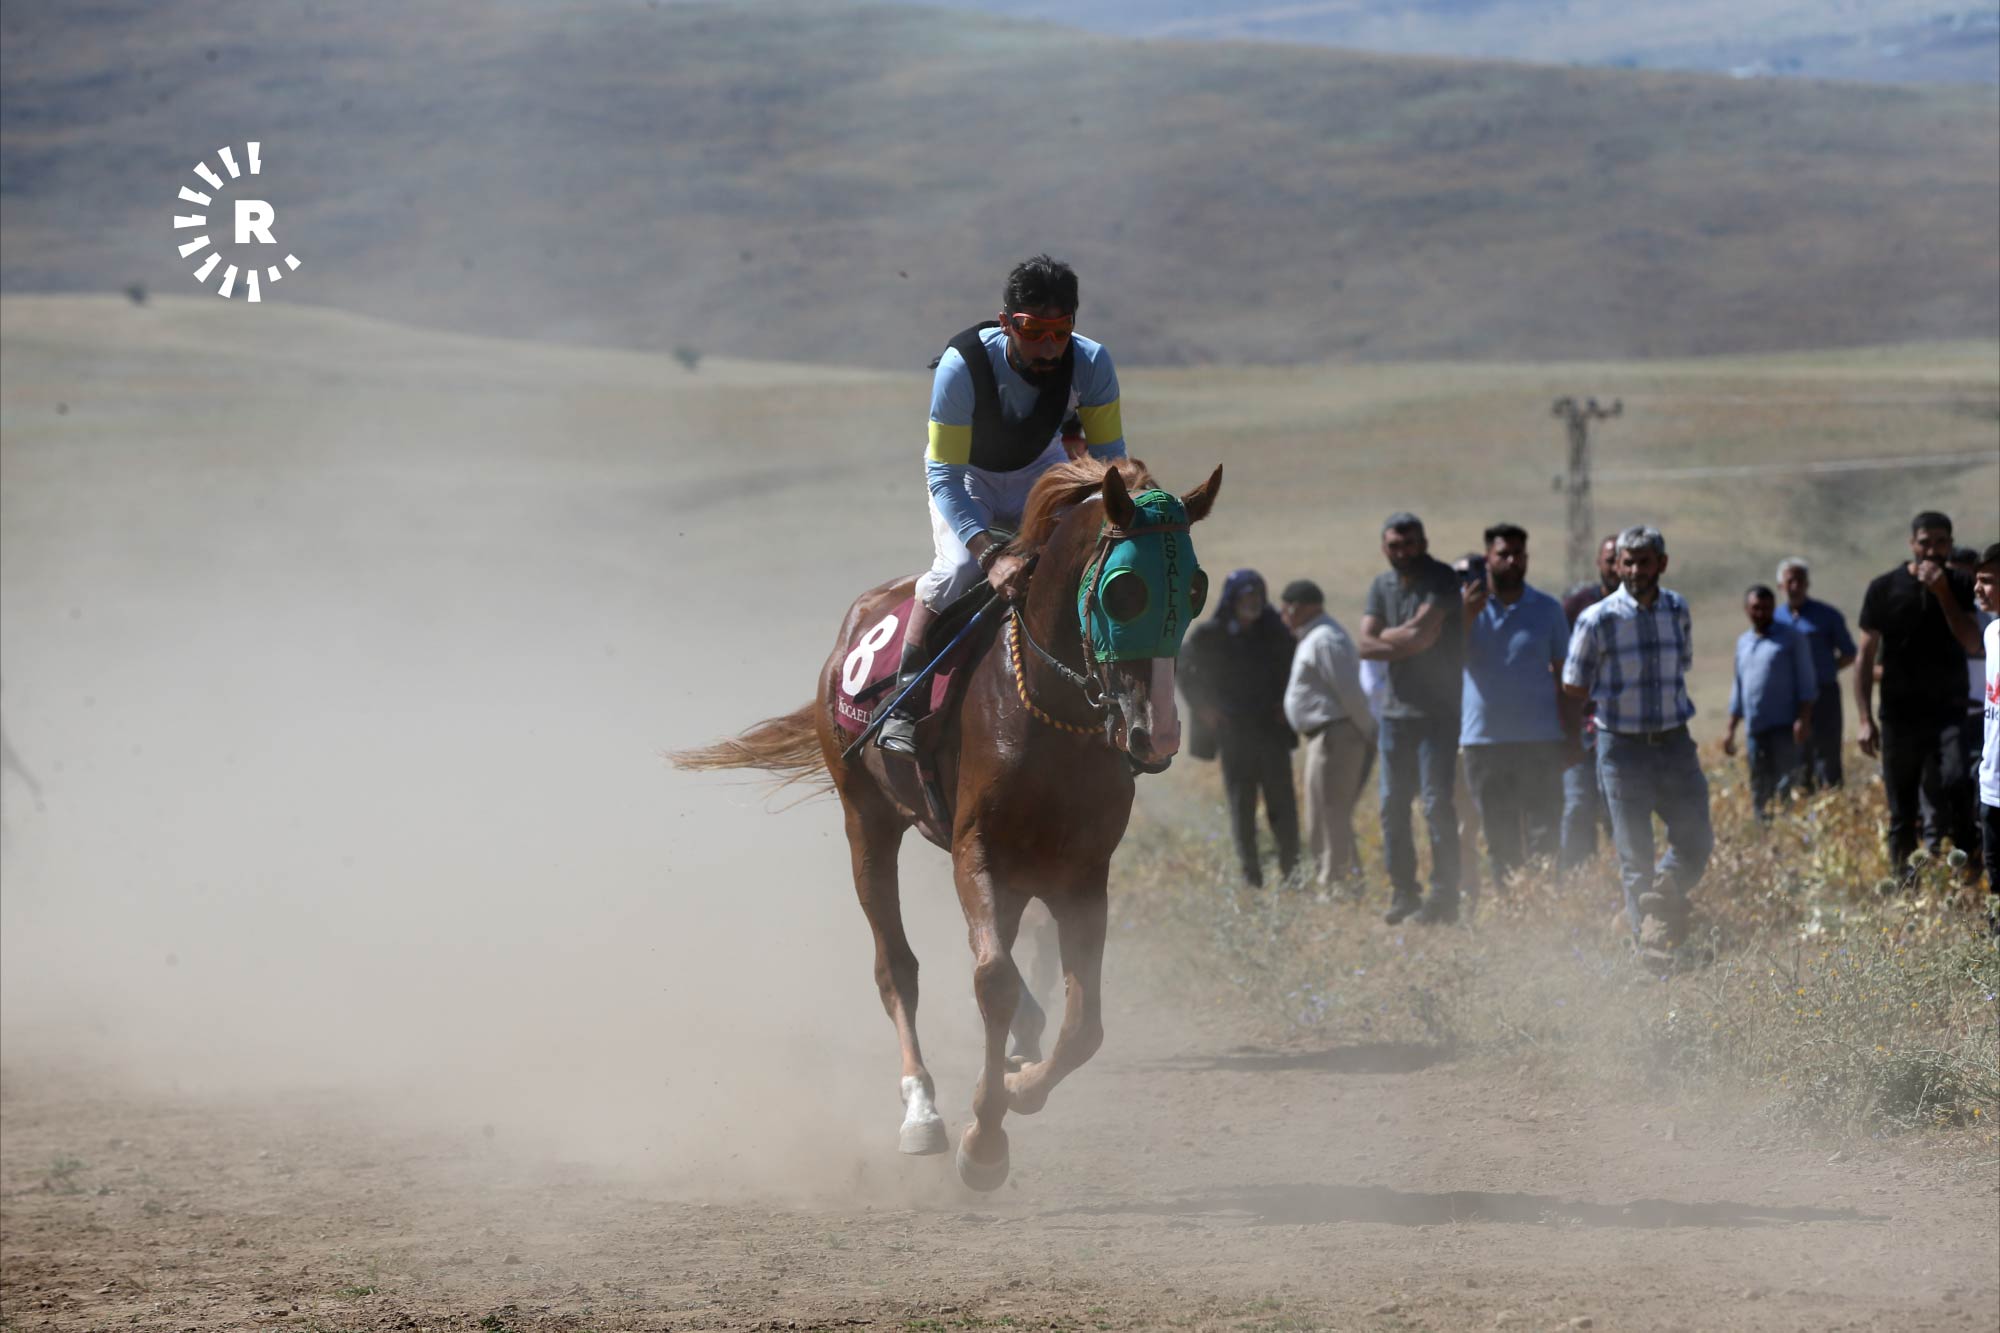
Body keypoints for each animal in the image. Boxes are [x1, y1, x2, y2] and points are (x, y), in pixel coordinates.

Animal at [674, 456, 1220, 1189]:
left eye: (1194, 587)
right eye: (1124, 590)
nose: (1155, 734)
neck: (1050, 715)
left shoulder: (1081, 872)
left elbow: (1084, 1024)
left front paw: (1019, 1087)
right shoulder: (976, 849)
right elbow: (992, 981)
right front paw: (984, 1138)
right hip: (866, 818)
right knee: (895, 967)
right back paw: (922, 1107)